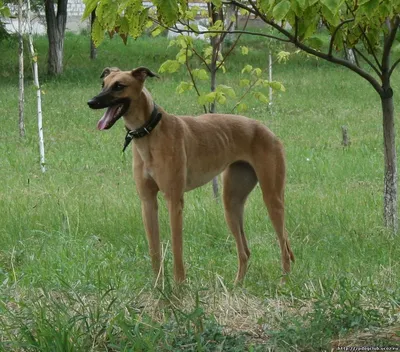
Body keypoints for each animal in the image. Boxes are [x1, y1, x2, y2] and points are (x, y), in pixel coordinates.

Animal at [87, 67, 294, 284]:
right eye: (103, 84)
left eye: (119, 86)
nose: (91, 102)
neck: (150, 133)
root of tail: (267, 130)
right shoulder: (148, 202)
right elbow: (154, 251)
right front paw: (159, 287)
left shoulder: (174, 201)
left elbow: (177, 250)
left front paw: (179, 287)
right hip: (231, 203)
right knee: (245, 251)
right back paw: (237, 285)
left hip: (272, 198)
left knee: (285, 247)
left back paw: (284, 283)